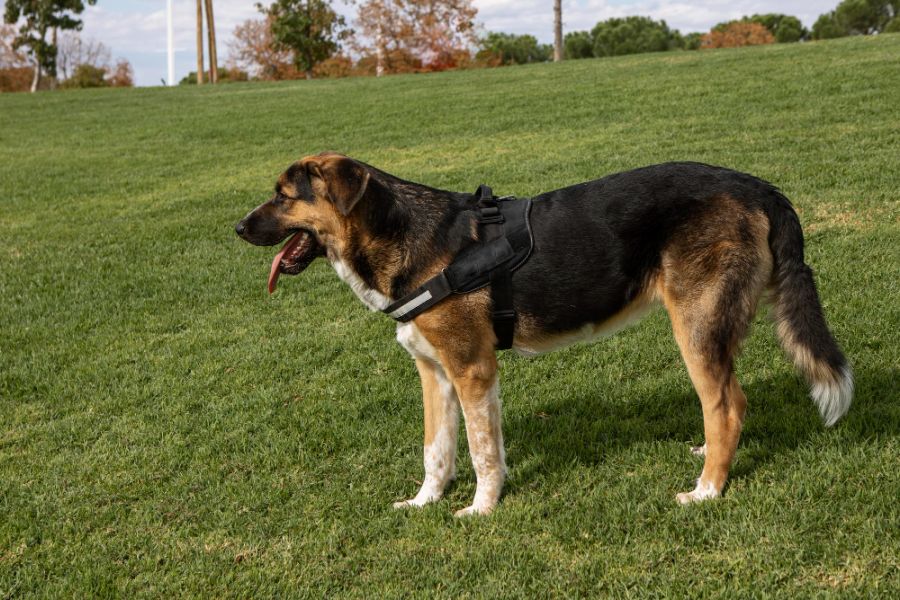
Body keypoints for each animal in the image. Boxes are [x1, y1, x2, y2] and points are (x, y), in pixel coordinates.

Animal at [236, 152, 856, 512]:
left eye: (284, 195)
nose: (237, 228)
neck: (403, 236)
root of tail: (758, 186)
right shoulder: (435, 374)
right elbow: (437, 452)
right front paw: (424, 504)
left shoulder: (473, 371)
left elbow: (483, 453)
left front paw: (481, 511)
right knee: (721, 403)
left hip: (696, 326)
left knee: (727, 403)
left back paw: (706, 491)